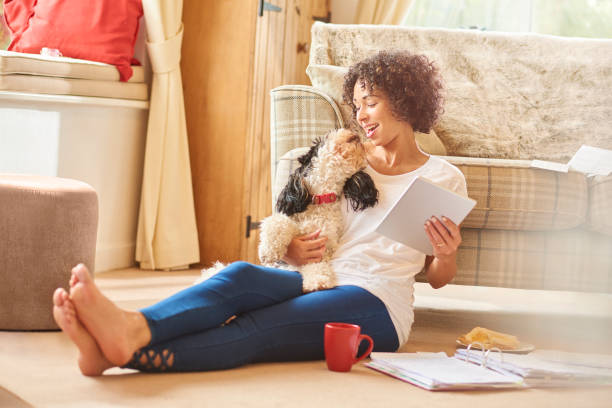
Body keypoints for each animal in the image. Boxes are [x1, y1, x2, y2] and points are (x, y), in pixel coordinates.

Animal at [258, 127, 378, 290]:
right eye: (325, 137)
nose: (352, 131)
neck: (322, 198)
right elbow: (277, 222)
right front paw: (268, 251)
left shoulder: (323, 247)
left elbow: (317, 266)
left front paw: (318, 281)